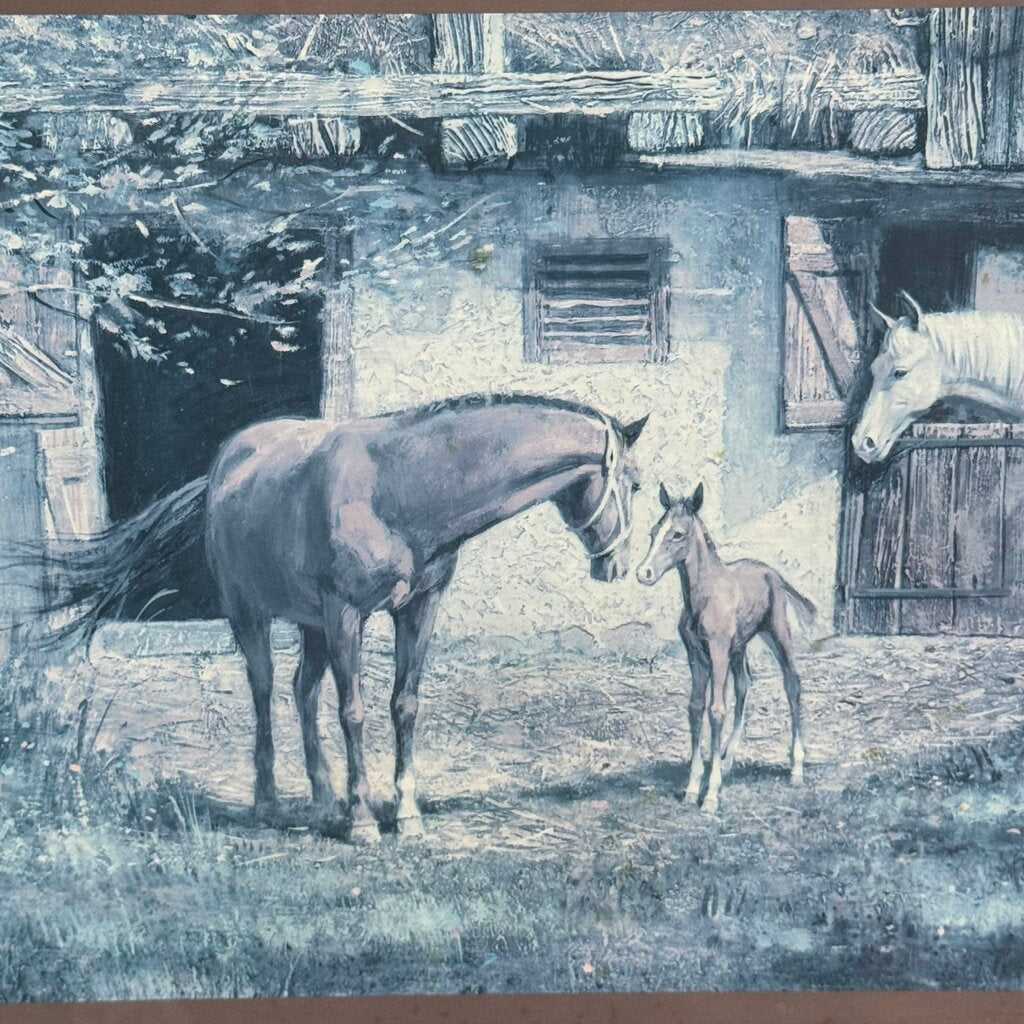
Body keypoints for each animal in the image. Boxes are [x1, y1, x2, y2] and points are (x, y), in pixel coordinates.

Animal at [29, 393, 649, 842]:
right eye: (637, 484)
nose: (616, 565)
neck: (402, 489)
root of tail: (225, 467)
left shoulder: (418, 609)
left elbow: (404, 706)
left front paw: (404, 812)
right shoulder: (346, 613)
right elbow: (353, 711)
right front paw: (363, 822)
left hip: (311, 625)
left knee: (302, 692)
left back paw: (325, 799)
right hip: (253, 617)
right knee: (265, 691)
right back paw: (270, 803)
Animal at [635, 481, 816, 812]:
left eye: (677, 534)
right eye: (654, 531)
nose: (644, 573)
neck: (703, 596)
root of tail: (772, 572)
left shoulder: (717, 651)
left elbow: (716, 709)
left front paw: (710, 796)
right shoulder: (696, 655)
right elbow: (696, 707)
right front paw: (693, 787)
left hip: (776, 634)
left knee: (793, 683)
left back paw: (796, 769)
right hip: (739, 646)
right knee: (745, 684)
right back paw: (728, 759)